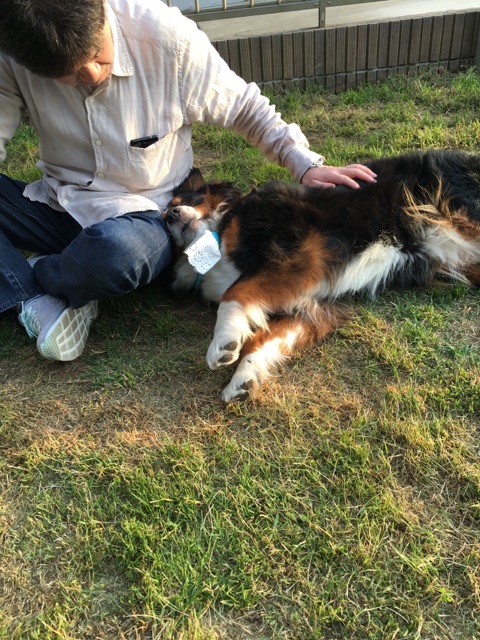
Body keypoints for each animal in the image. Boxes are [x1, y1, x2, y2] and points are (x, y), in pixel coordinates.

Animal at [163, 149, 480, 402]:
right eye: (164, 213)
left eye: (186, 199)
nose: (170, 216)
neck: (218, 235)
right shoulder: (311, 304)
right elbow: (266, 338)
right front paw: (245, 377)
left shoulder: (298, 250)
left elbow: (235, 293)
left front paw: (223, 342)